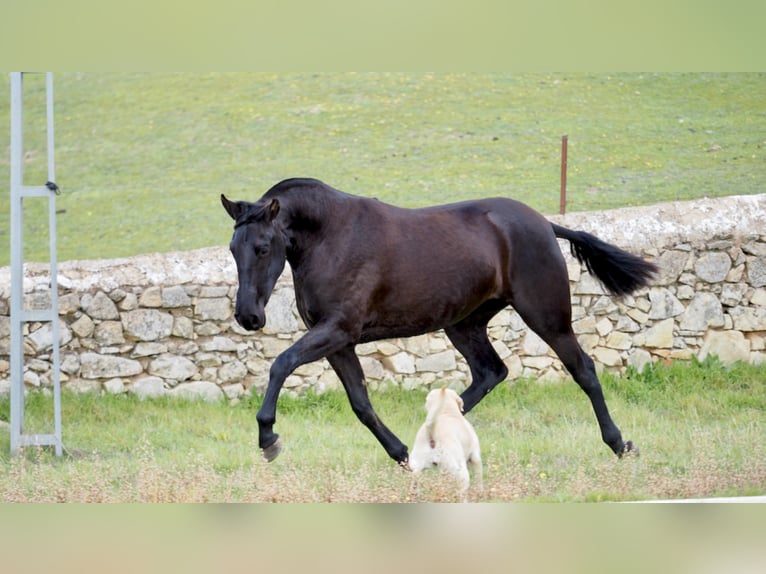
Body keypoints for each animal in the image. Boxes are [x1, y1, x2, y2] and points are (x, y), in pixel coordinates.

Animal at [222, 178, 660, 466]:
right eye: (231, 248)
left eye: (263, 247)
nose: (248, 316)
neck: (332, 237)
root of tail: (544, 224)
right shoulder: (339, 342)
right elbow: (361, 403)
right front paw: (400, 454)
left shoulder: (337, 330)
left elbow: (281, 364)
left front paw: (268, 437)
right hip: (464, 324)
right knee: (490, 373)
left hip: (547, 317)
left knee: (582, 370)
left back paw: (620, 444)